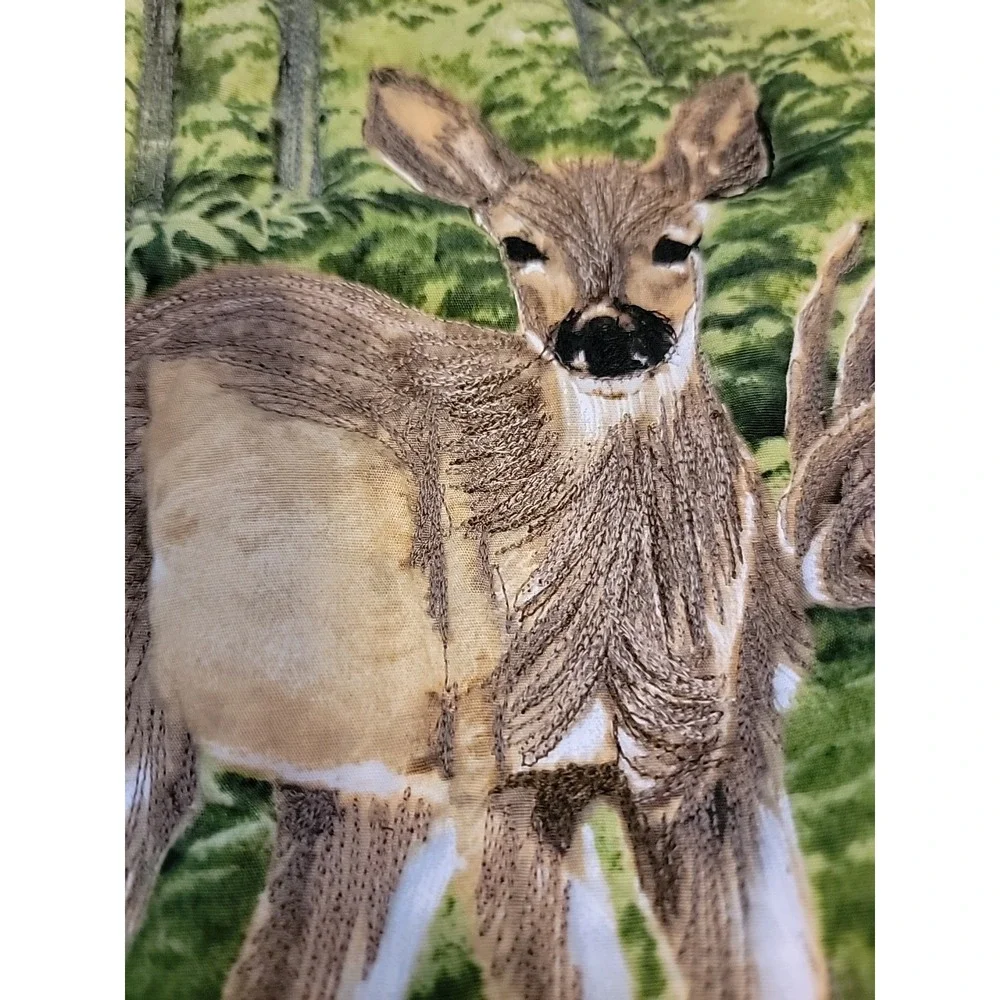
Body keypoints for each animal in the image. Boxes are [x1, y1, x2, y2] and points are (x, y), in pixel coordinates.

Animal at [125, 66, 874, 1000]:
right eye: (520, 245)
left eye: (677, 242)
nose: (604, 331)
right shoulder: (501, 765)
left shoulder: (735, 754)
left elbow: (779, 963)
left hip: (359, 780)